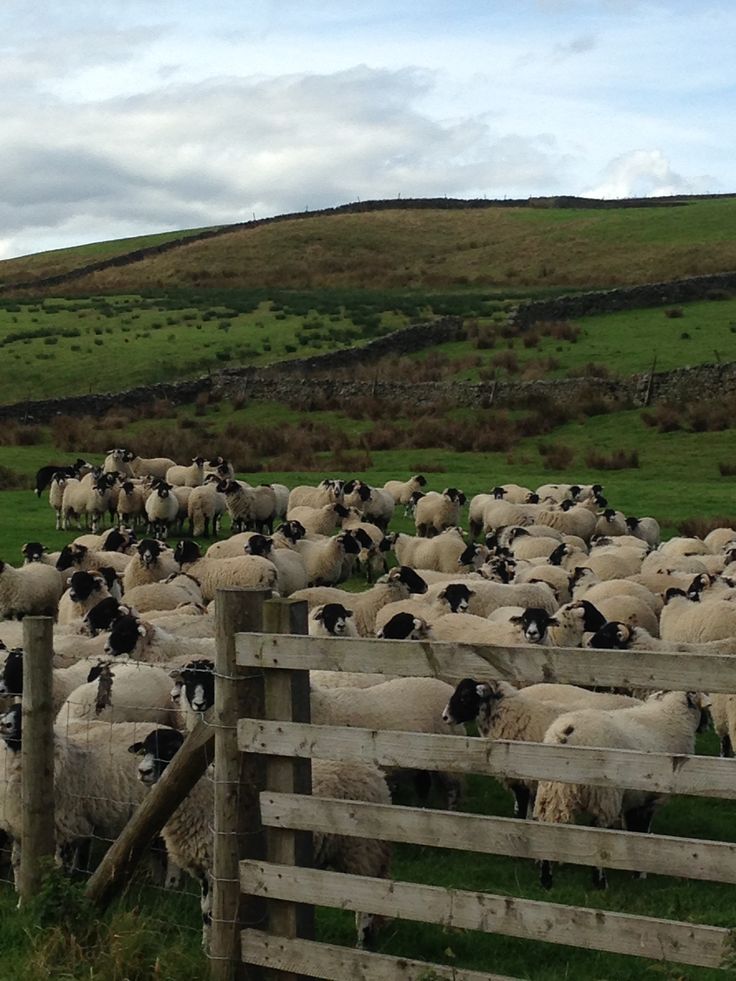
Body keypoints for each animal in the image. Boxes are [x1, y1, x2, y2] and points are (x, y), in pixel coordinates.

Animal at [128, 728, 392, 948]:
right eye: (145, 749)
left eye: (171, 749)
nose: (143, 772)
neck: (203, 794)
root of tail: (377, 776)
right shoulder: (202, 869)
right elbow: (204, 909)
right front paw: (205, 946)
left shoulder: (216, 865)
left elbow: (213, 912)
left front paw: (213, 948)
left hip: (361, 849)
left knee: (366, 902)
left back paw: (362, 945)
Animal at [536, 688, 708, 888]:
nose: (706, 727)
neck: (671, 714)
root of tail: (567, 730)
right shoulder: (649, 798)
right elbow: (640, 829)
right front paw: (640, 873)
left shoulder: (636, 797)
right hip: (604, 794)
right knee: (597, 832)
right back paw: (600, 882)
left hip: (553, 790)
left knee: (548, 827)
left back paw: (546, 880)